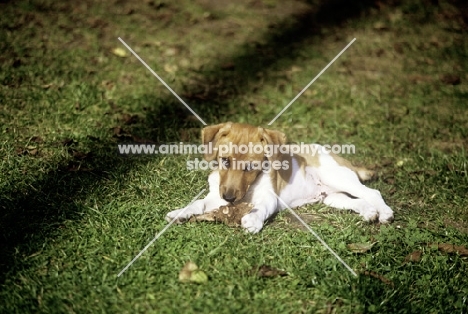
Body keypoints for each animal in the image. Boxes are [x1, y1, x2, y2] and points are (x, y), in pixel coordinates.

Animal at [166, 122, 394, 233]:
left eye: (251, 167)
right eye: (225, 161)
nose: (229, 199)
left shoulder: (270, 198)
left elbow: (260, 208)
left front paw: (253, 220)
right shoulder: (215, 196)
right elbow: (198, 204)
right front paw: (181, 212)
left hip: (337, 177)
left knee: (372, 192)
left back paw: (385, 213)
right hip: (331, 197)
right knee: (357, 200)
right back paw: (369, 212)